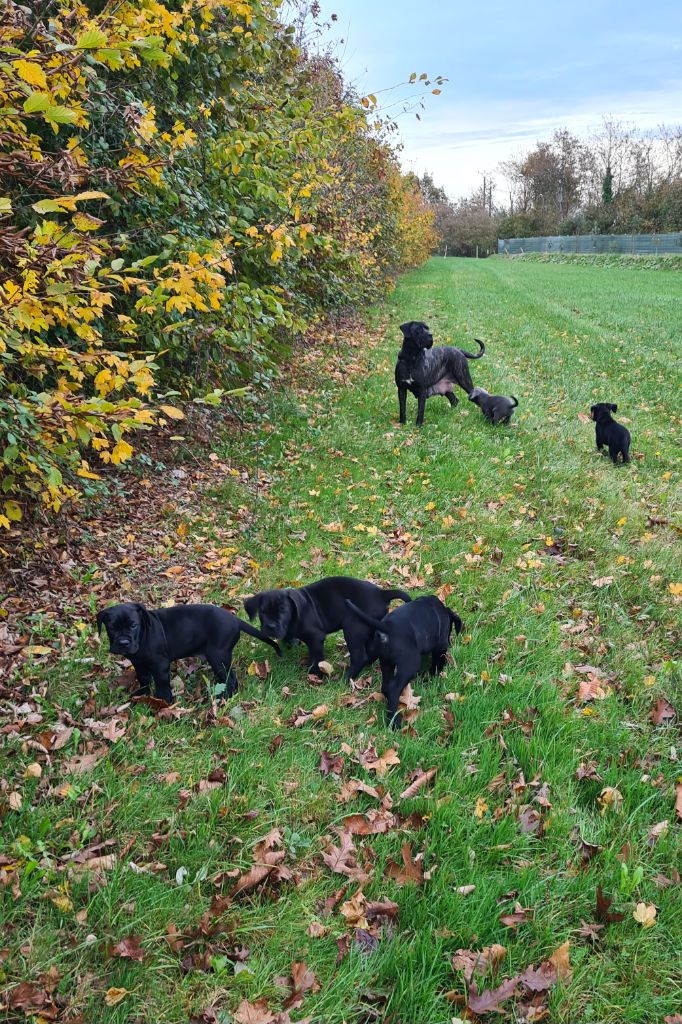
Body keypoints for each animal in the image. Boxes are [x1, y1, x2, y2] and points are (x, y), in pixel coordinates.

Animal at [95, 598, 278, 704]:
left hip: (218, 655)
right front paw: (140, 696)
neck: (143, 636)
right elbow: (144, 680)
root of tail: (235, 619)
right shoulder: (139, 664)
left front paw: (163, 704)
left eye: (133, 625)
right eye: (111, 627)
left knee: (231, 678)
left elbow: (162, 685)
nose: (123, 642)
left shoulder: (160, 665)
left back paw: (223, 698)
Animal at [244, 577, 409, 679]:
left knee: (360, 656)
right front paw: (291, 644)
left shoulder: (316, 637)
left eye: (283, 610)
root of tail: (382, 593)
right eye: (263, 612)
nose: (270, 626)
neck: (296, 615)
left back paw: (346, 678)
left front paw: (316, 674)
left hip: (353, 629)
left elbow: (316, 658)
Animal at [346, 593, 462, 729]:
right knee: (393, 689)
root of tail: (387, 627)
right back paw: (394, 723)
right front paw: (435, 676)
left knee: (385, 687)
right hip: (410, 663)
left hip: (386, 662)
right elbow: (437, 664)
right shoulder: (441, 646)